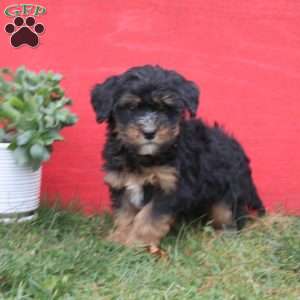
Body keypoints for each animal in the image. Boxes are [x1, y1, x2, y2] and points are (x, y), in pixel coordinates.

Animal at [91, 64, 264, 247]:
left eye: (164, 108)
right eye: (131, 108)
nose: (149, 133)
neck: (145, 158)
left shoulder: (171, 185)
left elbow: (148, 218)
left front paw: (136, 243)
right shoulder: (121, 183)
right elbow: (125, 214)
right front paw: (119, 240)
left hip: (228, 191)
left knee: (230, 216)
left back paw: (220, 236)